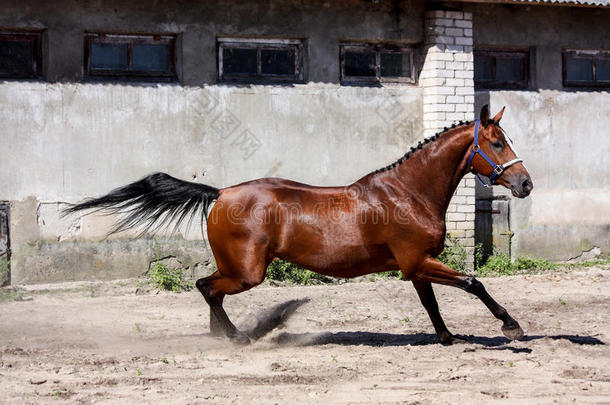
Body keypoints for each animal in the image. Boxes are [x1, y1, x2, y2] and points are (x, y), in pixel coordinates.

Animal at [64, 105, 532, 344]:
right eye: (496, 143)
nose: (525, 183)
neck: (408, 193)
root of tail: (220, 193)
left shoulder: (415, 266)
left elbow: (431, 304)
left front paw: (447, 338)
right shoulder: (417, 261)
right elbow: (473, 282)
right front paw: (511, 325)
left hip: (240, 268)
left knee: (209, 290)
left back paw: (226, 335)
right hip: (247, 271)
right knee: (207, 287)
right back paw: (236, 337)